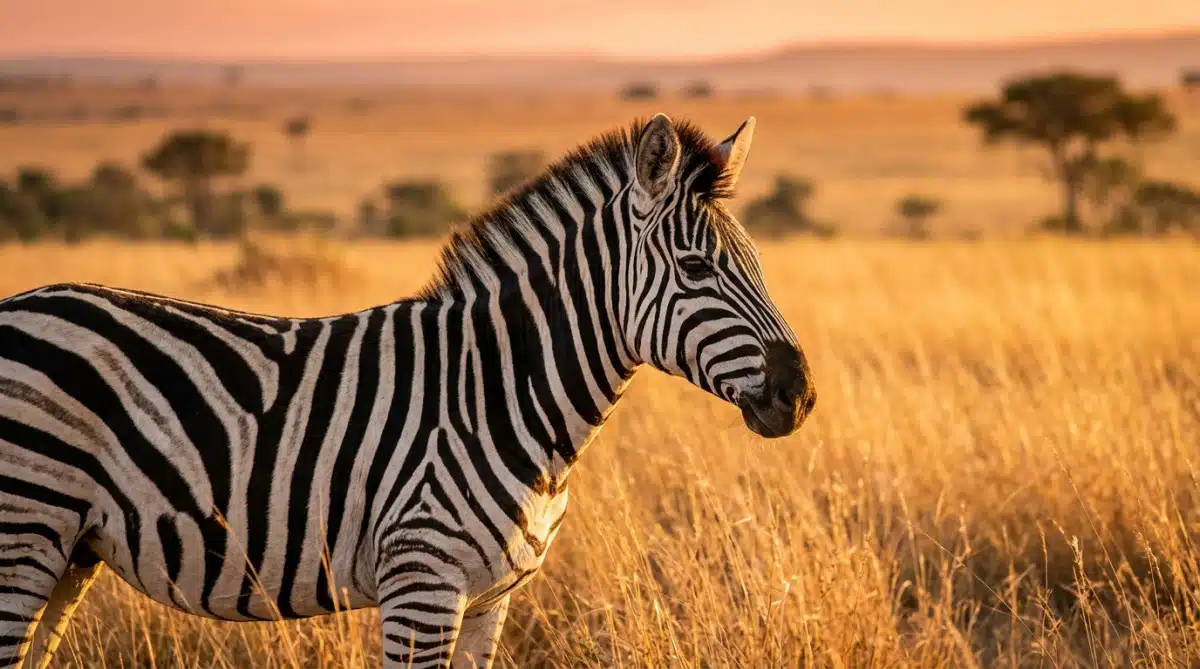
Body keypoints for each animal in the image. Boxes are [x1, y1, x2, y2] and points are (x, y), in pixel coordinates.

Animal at [0, 112, 816, 668]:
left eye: (758, 261)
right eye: (696, 269)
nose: (800, 395)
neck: (498, 391)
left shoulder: (490, 600)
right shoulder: (421, 582)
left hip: (73, 548)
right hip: (25, 527)